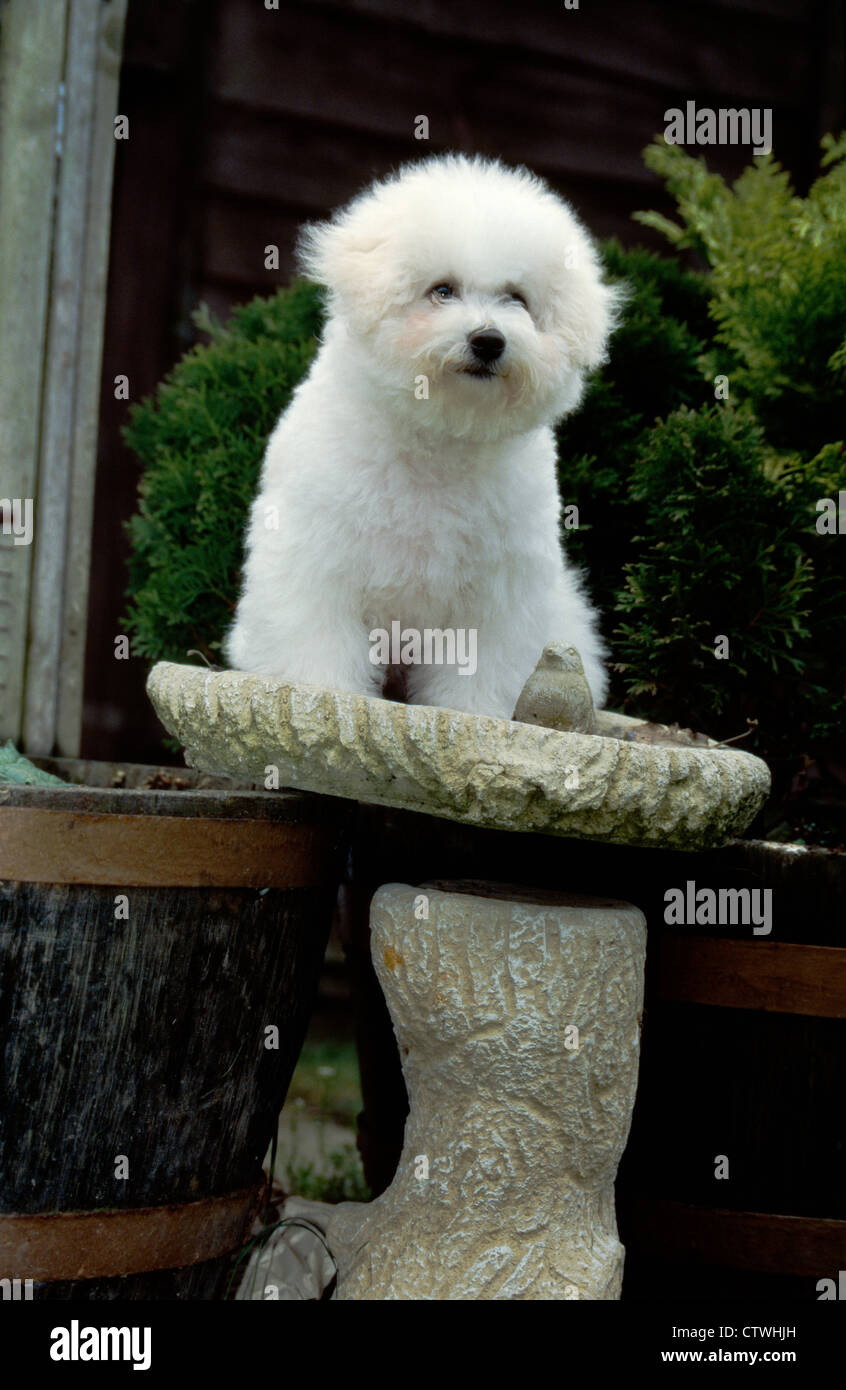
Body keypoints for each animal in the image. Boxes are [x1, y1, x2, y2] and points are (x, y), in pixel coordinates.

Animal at [227, 154, 616, 717]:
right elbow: (316, 630)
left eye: (517, 299)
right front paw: (318, 690)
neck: (439, 436)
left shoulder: (499, 588)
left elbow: (484, 659)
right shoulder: (316, 551)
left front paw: (476, 711)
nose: (489, 340)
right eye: (442, 290)